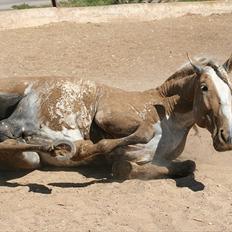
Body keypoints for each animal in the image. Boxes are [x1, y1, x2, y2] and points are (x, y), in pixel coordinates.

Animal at [0, 54, 232, 179]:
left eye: (230, 89)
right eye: (204, 87)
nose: (226, 138)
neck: (167, 113)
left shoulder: (153, 158)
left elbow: (185, 166)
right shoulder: (106, 115)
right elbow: (141, 134)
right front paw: (85, 149)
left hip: (28, 158)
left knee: (12, 141)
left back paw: (48, 145)